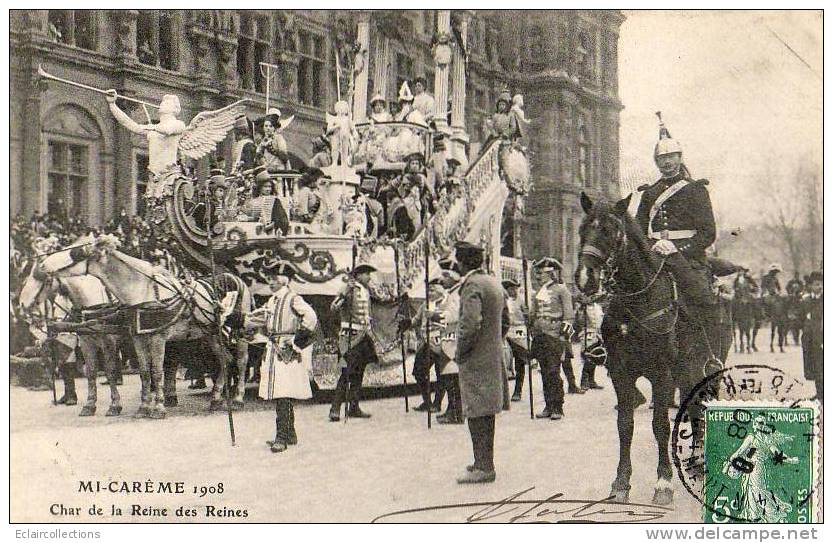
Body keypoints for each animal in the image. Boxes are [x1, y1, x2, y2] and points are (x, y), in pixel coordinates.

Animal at [18, 266, 123, 418]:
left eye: (45, 279)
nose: (21, 304)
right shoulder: (86, 342)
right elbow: (91, 372)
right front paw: (89, 405)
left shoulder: (109, 341)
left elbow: (110, 371)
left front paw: (114, 405)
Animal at [33, 236, 254, 418]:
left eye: (75, 253)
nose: (41, 266)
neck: (142, 291)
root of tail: (235, 277)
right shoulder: (133, 338)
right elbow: (142, 372)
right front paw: (143, 407)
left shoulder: (153, 338)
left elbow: (152, 371)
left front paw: (156, 408)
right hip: (211, 333)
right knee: (225, 359)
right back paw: (216, 398)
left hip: (240, 330)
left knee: (241, 360)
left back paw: (237, 399)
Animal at [576, 193, 724, 508]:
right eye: (582, 229)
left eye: (611, 232)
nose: (585, 278)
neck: (639, 299)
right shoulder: (621, 373)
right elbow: (625, 425)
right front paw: (621, 482)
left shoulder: (662, 374)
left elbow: (660, 426)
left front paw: (663, 482)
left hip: (696, 370)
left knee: (697, 410)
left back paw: (700, 462)